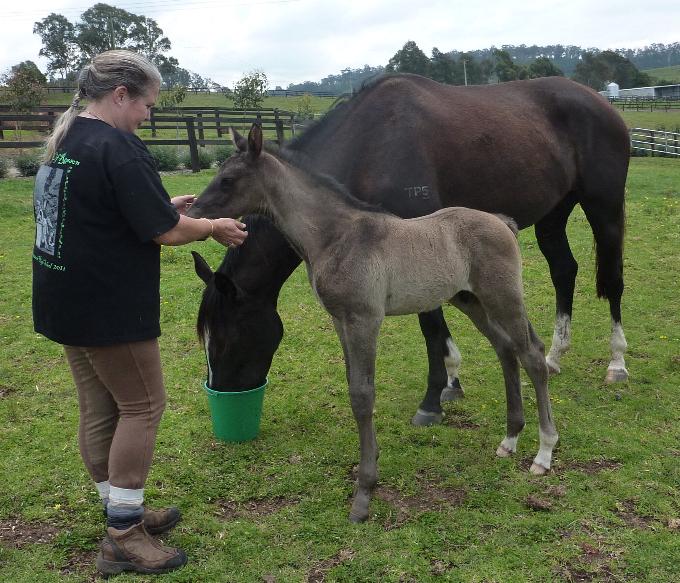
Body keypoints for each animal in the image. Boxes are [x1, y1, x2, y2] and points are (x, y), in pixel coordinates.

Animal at [190, 125, 556, 524]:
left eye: (228, 179)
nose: (193, 212)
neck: (335, 236)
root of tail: (502, 222)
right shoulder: (340, 321)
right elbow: (354, 386)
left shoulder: (363, 319)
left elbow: (363, 395)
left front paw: (364, 492)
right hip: (471, 300)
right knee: (506, 349)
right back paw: (509, 440)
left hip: (503, 297)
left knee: (532, 356)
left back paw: (543, 453)